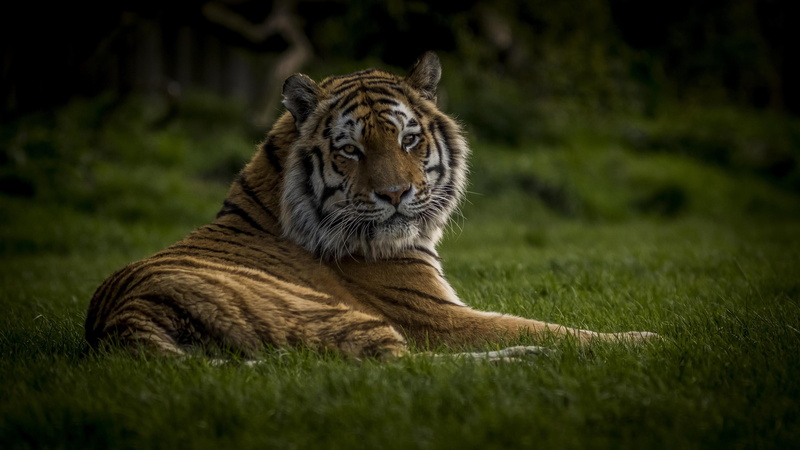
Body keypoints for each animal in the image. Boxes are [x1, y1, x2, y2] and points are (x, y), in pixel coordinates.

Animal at [84, 52, 656, 362]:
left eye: (408, 139)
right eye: (351, 150)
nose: (396, 195)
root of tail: (122, 319)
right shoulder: (436, 318)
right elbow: (549, 326)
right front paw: (646, 339)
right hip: (342, 317)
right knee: (405, 371)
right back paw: (542, 356)